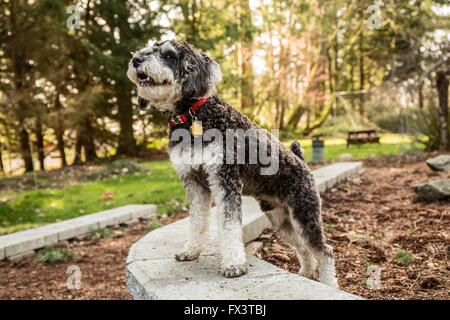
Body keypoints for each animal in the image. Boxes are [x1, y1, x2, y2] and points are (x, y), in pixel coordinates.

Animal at [126, 39, 338, 288]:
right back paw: (305, 273)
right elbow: (197, 220)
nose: (136, 60)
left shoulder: (225, 179)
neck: (193, 116)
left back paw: (329, 284)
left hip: (304, 213)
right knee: (302, 247)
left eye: (169, 54)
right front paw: (191, 251)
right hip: (280, 219)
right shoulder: (193, 183)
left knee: (324, 251)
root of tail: (301, 162)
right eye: (150, 47)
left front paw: (233, 265)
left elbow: (229, 225)